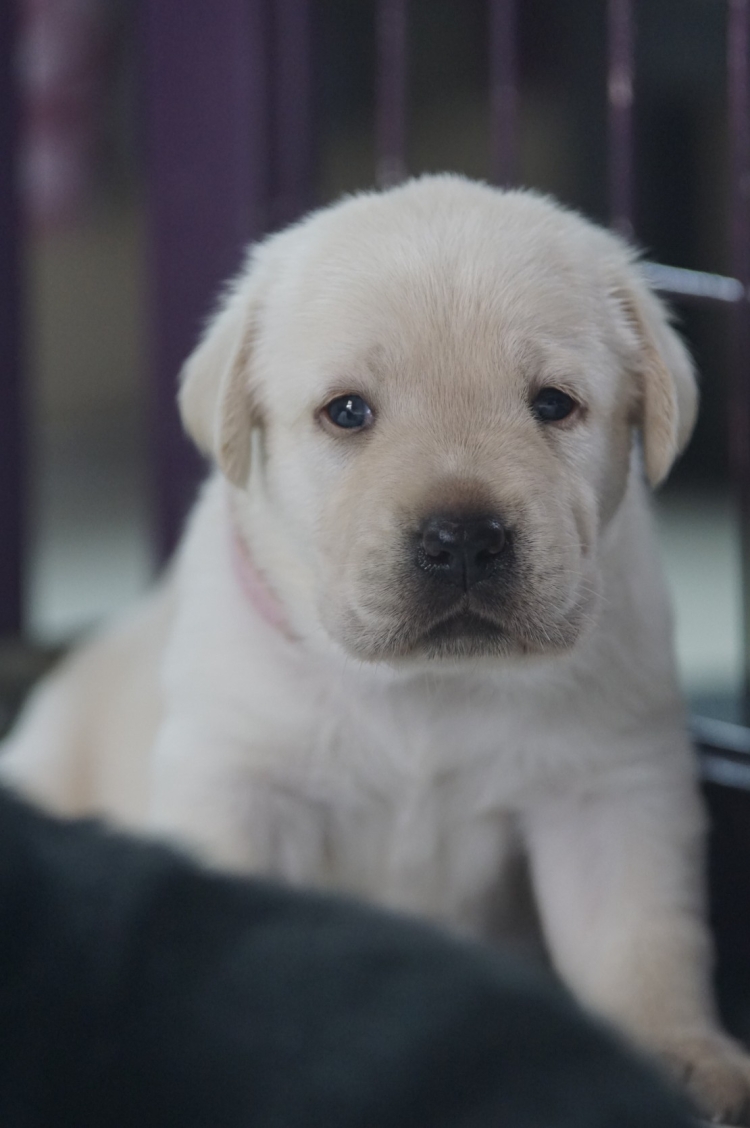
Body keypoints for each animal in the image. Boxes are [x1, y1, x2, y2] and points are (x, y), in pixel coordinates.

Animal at [2, 174, 748, 1121]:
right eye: (348, 412)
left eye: (553, 403)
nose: (463, 539)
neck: (425, 685)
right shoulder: (236, 783)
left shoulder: (608, 792)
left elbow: (638, 941)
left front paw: (681, 1056)